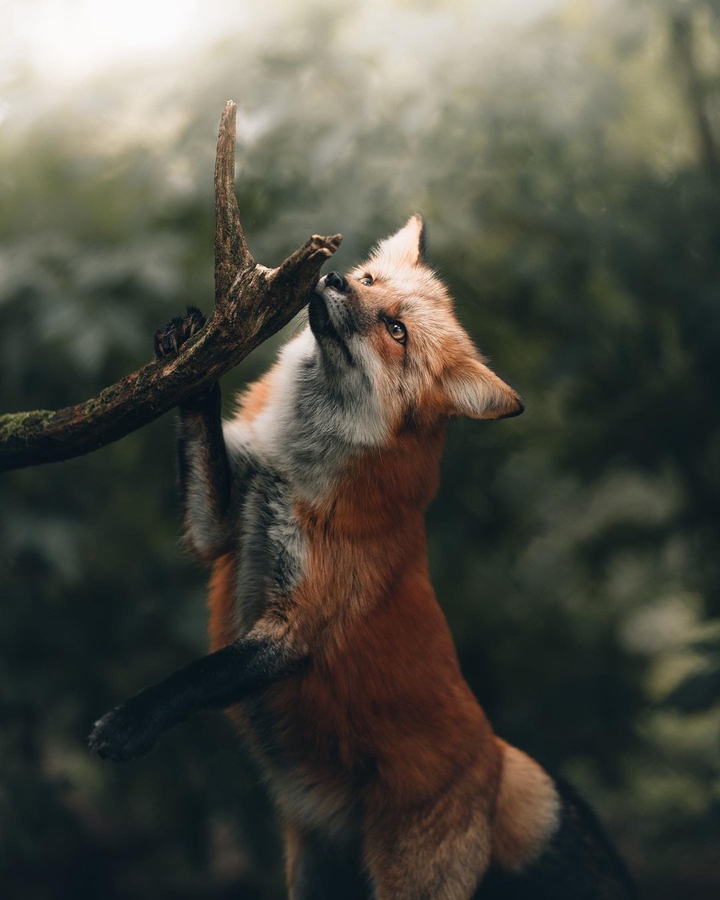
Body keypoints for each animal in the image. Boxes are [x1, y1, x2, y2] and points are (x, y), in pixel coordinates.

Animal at [89, 216, 636, 899]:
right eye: (372, 281)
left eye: (395, 330)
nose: (336, 280)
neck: (291, 470)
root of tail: (493, 756)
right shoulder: (219, 528)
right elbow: (203, 443)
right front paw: (189, 359)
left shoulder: (299, 626)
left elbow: (198, 677)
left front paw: (131, 723)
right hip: (312, 875)